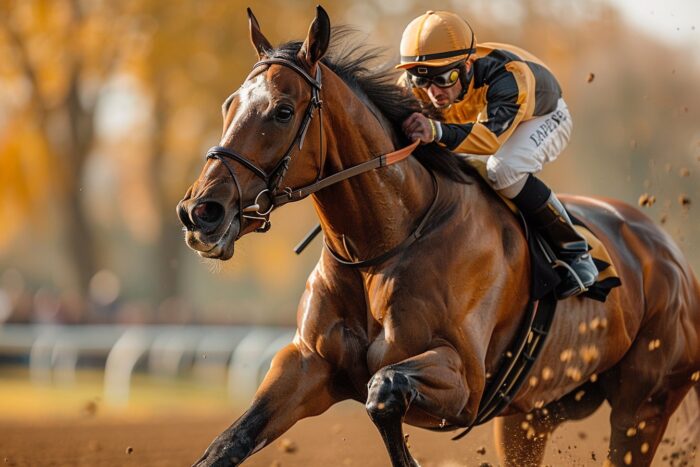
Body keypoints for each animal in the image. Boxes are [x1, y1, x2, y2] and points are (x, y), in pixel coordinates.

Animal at [177, 7, 700, 466]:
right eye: (228, 105)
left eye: (283, 111)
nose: (199, 211)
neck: (383, 247)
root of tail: (672, 257)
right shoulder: (306, 365)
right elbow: (227, 444)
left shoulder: (465, 382)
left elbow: (383, 391)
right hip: (532, 414)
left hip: (643, 404)